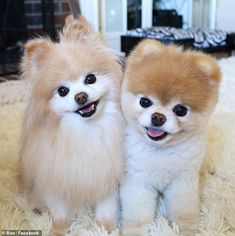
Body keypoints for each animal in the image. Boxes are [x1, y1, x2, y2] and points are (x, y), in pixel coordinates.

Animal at [120, 39, 221, 235]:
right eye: (145, 102)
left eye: (180, 110)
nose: (158, 117)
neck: (161, 152)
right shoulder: (137, 181)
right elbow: (137, 213)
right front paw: (135, 230)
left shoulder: (182, 182)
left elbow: (183, 210)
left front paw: (186, 229)